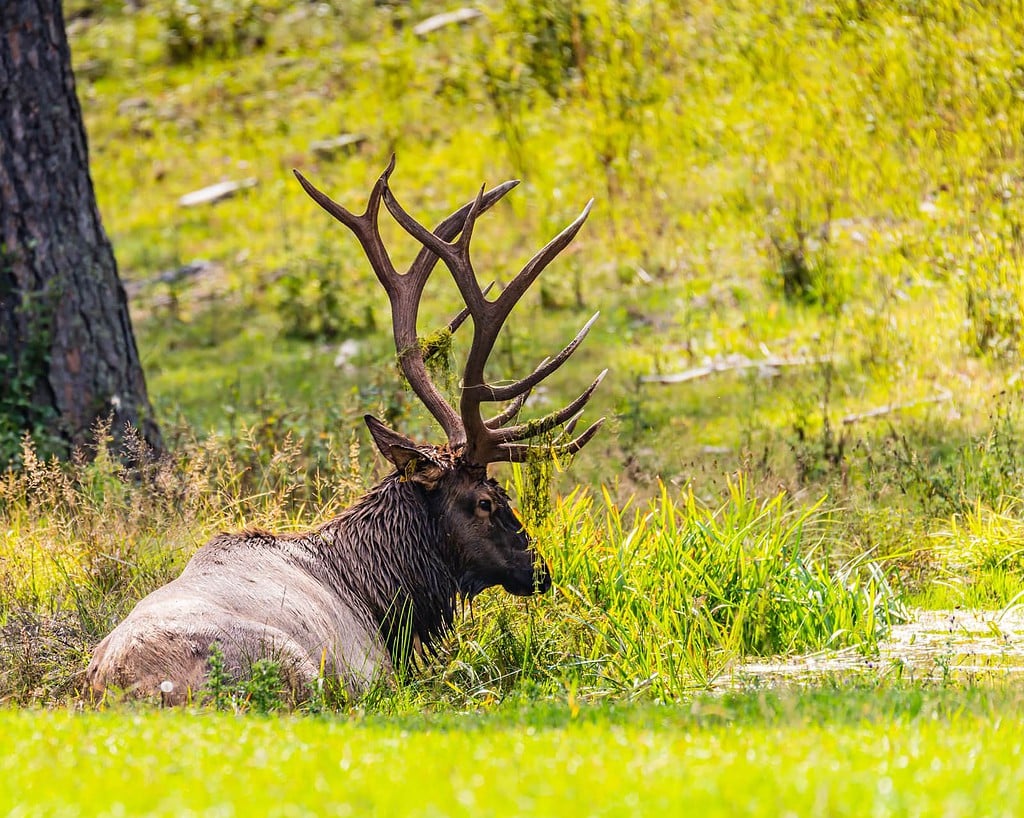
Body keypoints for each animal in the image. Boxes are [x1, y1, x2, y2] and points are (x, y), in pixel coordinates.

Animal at [88, 158, 602, 704]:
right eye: (486, 501)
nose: (540, 569)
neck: (380, 598)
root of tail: (130, 688)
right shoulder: (375, 669)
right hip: (297, 670)